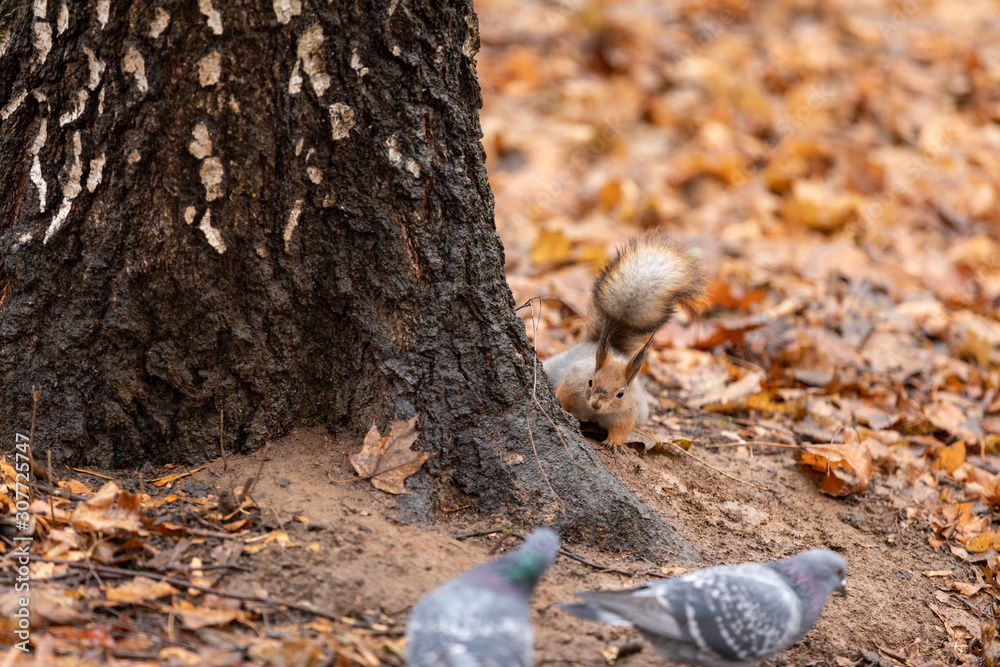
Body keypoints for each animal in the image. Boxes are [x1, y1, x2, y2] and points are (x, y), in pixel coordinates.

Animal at [543, 235, 704, 448]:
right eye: (590, 381)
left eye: (621, 393)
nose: (596, 404)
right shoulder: (572, 385)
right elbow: (562, 397)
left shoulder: (627, 412)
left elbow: (622, 429)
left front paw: (613, 443)